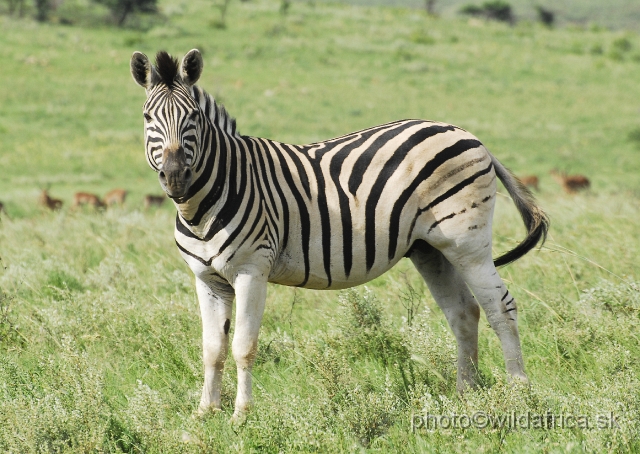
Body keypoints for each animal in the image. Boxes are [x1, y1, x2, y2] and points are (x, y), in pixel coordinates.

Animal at [130, 49, 552, 422]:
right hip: (430, 249)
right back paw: (467, 393)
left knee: (501, 308)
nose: (175, 177)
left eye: (193, 117)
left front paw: (241, 417)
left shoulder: (252, 270)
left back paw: (519, 394)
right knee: (464, 312)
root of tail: (466, 134)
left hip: (468, 244)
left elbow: (244, 347)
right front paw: (205, 413)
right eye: (148, 117)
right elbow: (212, 349)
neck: (203, 206)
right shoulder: (207, 279)